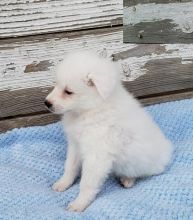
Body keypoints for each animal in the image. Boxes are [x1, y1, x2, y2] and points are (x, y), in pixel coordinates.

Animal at [45, 50, 172, 212]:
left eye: (68, 92)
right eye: (56, 85)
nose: (46, 103)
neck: (90, 109)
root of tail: (168, 149)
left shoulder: (97, 156)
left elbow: (87, 183)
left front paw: (79, 203)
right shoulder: (76, 145)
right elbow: (70, 167)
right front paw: (62, 183)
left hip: (141, 165)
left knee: (140, 173)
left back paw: (128, 180)